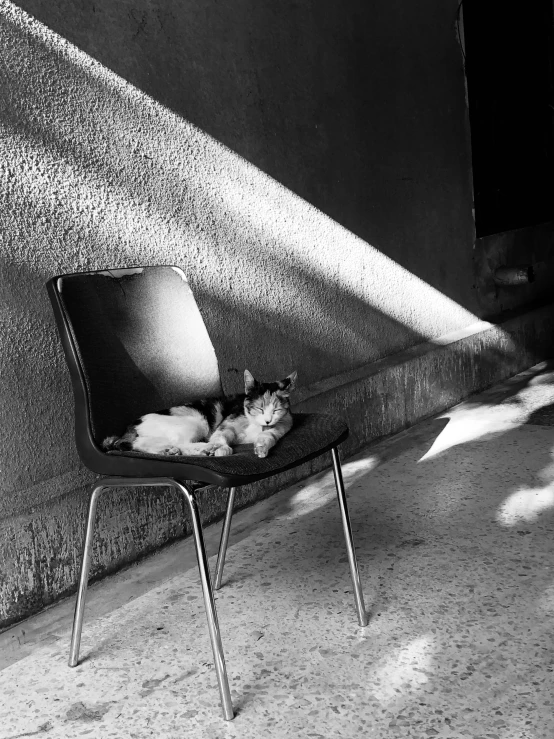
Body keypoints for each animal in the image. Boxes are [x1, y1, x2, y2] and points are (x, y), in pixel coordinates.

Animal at [101, 368, 296, 456]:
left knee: (140, 444)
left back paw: (168, 450)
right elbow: (220, 438)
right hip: (197, 422)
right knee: (182, 443)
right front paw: (222, 449)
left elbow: (269, 436)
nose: (268, 421)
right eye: (259, 408)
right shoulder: (224, 427)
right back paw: (205, 448)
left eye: (276, 409)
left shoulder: (281, 426)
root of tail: (131, 425)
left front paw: (262, 447)